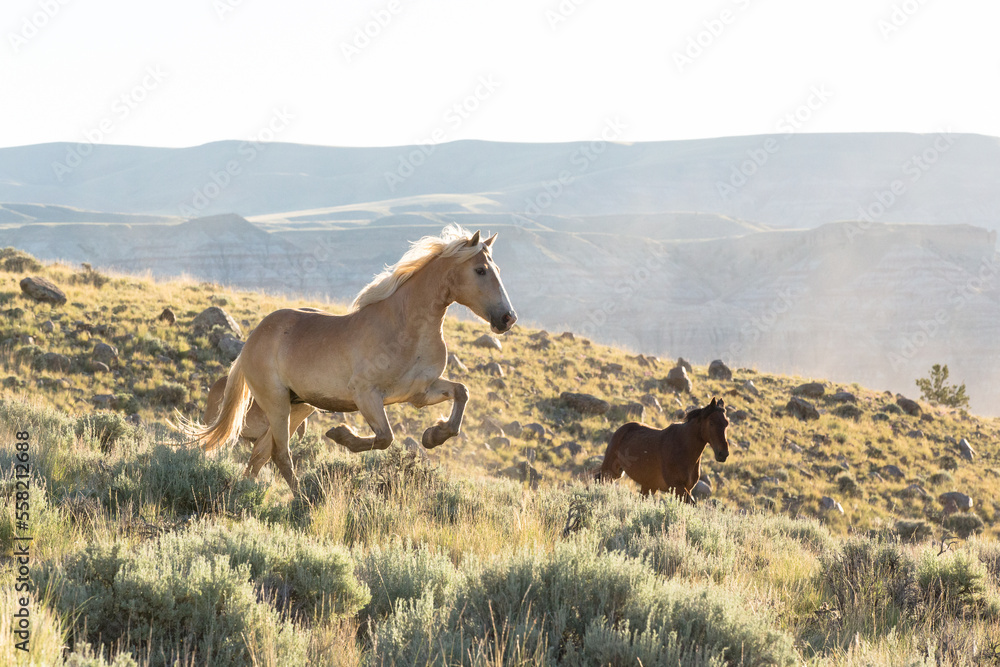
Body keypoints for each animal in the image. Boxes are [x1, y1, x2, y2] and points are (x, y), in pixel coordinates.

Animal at [181, 227, 520, 494]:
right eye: (480, 270)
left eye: (498, 270)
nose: (507, 318)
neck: (405, 327)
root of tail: (251, 341)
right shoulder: (367, 395)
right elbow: (384, 437)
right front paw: (340, 434)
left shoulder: (420, 392)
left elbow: (461, 393)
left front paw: (433, 436)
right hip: (276, 403)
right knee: (280, 454)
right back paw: (303, 498)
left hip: (299, 405)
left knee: (261, 454)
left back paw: (250, 492)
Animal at [592, 396, 728, 500]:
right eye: (711, 422)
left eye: (726, 423)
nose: (723, 454)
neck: (684, 448)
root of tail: (621, 429)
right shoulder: (677, 487)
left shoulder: (687, 489)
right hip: (611, 472)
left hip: (646, 485)